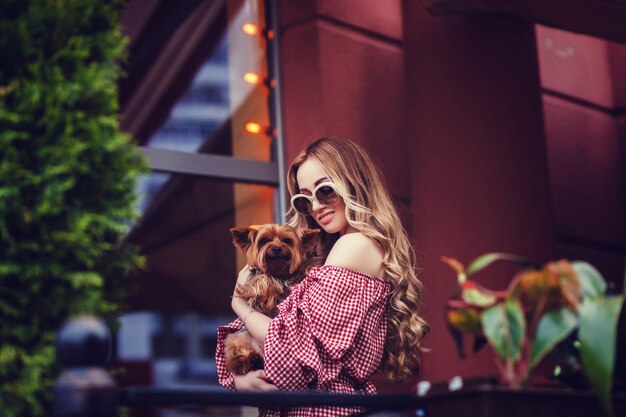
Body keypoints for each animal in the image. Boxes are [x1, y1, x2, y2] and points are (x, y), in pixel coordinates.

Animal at [223, 224, 320, 374]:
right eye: (264, 240)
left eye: (287, 241)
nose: (276, 248)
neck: (279, 272)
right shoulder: (257, 277)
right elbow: (263, 277)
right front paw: (264, 292)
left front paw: (307, 268)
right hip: (238, 337)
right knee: (236, 359)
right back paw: (250, 360)